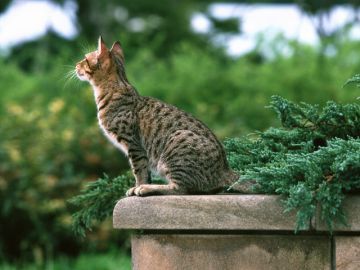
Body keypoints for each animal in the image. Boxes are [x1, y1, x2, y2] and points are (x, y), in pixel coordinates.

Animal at [75, 36, 239, 196]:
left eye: (85, 59)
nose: (76, 64)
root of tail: (226, 169)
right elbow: (145, 172)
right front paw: (140, 186)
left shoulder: (134, 146)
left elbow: (139, 171)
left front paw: (139, 186)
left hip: (176, 145)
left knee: (180, 189)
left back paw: (148, 188)